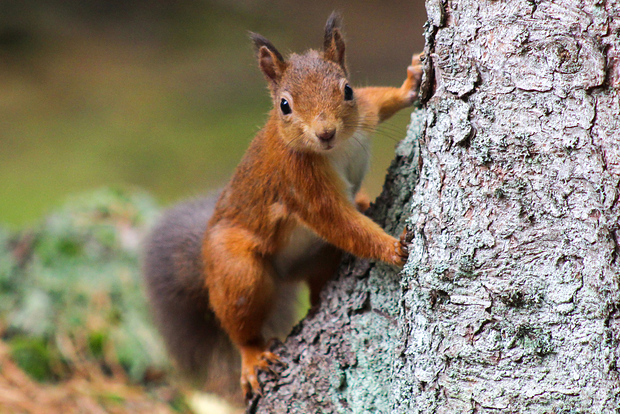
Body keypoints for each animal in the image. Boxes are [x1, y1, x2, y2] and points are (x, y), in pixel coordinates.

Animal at [142, 13, 422, 404]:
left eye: (347, 90)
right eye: (284, 106)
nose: (325, 132)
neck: (336, 149)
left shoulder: (364, 113)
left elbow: (379, 99)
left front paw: (412, 81)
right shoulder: (301, 185)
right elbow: (340, 222)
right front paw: (393, 247)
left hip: (319, 258)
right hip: (237, 271)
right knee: (240, 322)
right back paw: (253, 357)